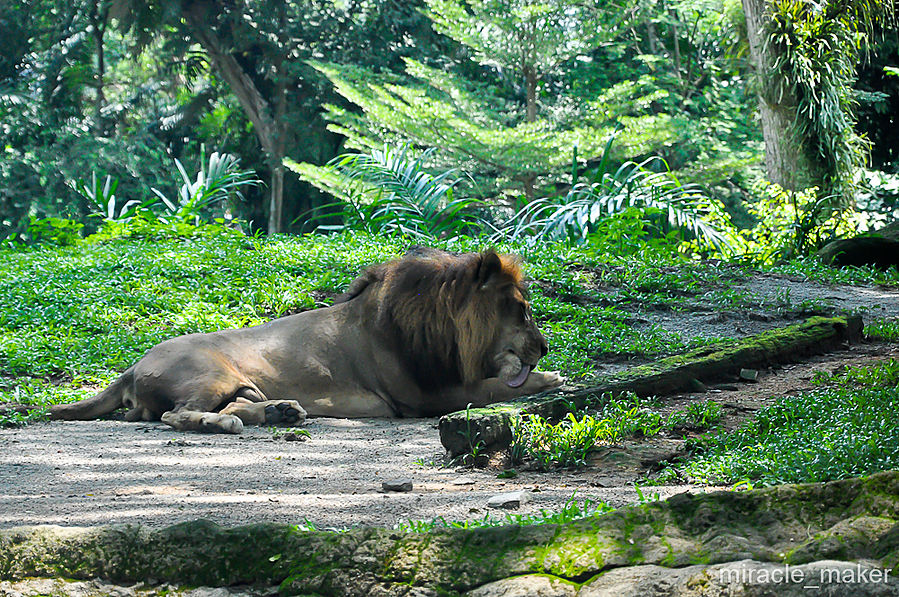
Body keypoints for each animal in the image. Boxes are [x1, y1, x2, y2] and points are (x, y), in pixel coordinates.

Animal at [29, 247, 564, 434]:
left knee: (234, 404)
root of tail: (133, 366)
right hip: (210, 372)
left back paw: (280, 412)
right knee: (172, 416)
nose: (543, 347)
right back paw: (222, 425)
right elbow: (494, 387)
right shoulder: (425, 396)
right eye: (523, 309)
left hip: (242, 383)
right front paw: (552, 375)